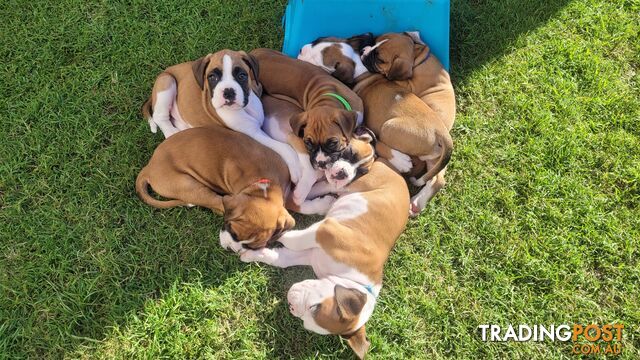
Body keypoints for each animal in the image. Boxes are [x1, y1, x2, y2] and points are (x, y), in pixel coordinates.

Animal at [135, 128, 336, 252]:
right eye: (232, 231)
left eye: (251, 247)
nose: (231, 249)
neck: (264, 183)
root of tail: (148, 168)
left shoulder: (285, 191)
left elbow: (302, 198)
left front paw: (326, 194)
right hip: (190, 185)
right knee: (215, 203)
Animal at [141, 48, 302, 186]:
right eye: (212, 77)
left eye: (242, 76)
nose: (228, 92)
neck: (245, 108)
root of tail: (164, 72)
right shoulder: (253, 133)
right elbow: (284, 147)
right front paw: (296, 167)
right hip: (167, 83)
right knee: (159, 117)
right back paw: (171, 132)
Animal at [236, 129, 410, 358]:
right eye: (315, 307)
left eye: (309, 316)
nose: (291, 306)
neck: (351, 279)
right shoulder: (326, 231)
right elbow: (295, 238)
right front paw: (275, 232)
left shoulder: (311, 253)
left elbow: (281, 257)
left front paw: (254, 253)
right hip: (351, 184)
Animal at [250, 48, 364, 205]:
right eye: (308, 143)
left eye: (333, 143)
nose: (321, 163)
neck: (327, 95)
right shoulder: (296, 138)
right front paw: (301, 192)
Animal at [300, 35, 456, 215]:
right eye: (317, 41)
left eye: (318, 63)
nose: (301, 50)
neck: (361, 68)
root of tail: (442, 132)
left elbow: (375, 144)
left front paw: (401, 160)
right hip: (434, 158)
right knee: (437, 178)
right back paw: (417, 202)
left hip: (388, 127)